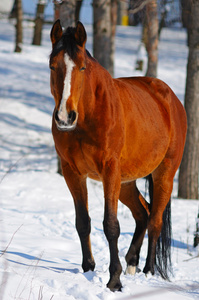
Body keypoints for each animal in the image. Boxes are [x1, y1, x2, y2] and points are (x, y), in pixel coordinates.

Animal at [49, 20, 187, 290]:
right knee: (143, 214)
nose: (64, 117)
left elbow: (111, 225)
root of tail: (171, 99)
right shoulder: (72, 172)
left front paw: (114, 280)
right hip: (126, 182)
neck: (88, 116)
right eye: (52, 65)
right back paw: (132, 263)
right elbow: (83, 222)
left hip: (163, 174)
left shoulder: (109, 170)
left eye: (82, 67)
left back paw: (148, 271)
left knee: (155, 221)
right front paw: (88, 269)